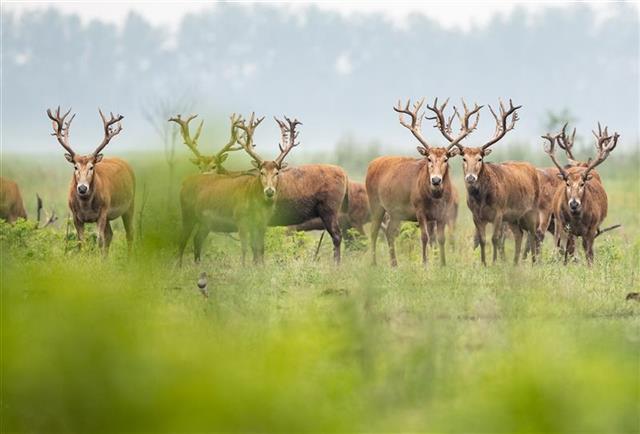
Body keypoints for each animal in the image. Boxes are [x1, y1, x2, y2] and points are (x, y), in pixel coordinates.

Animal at [46, 107, 135, 254]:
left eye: (91, 167)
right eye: (75, 166)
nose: (82, 188)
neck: (86, 206)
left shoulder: (103, 211)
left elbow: (99, 241)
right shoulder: (75, 215)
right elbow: (81, 242)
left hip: (130, 204)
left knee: (129, 234)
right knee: (110, 235)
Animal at [364, 97, 480, 266]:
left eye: (446, 159)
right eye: (428, 158)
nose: (436, 180)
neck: (436, 198)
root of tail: (372, 164)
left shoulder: (443, 213)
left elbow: (441, 238)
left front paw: (443, 263)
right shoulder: (419, 209)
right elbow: (424, 237)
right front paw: (425, 263)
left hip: (396, 212)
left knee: (390, 231)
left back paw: (394, 263)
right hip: (375, 202)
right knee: (374, 231)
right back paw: (373, 262)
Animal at [456, 100, 540, 266]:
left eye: (479, 158)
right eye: (464, 158)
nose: (470, 178)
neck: (481, 200)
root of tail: (532, 168)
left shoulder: (499, 211)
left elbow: (495, 239)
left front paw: (494, 262)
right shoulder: (476, 215)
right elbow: (482, 240)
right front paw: (484, 263)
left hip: (532, 209)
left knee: (533, 234)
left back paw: (533, 262)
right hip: (514, 217)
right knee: (519, 234)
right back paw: (515, 263)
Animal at [544, 122, 616, 264]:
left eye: (582, 184)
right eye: (567, 183)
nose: (574, 203)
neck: (578, 219)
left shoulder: (592, 228)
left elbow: (589, 253)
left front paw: (590, 266)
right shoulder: (566, 227)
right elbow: (570, 250)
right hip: (559, 224)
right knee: (561, 245)